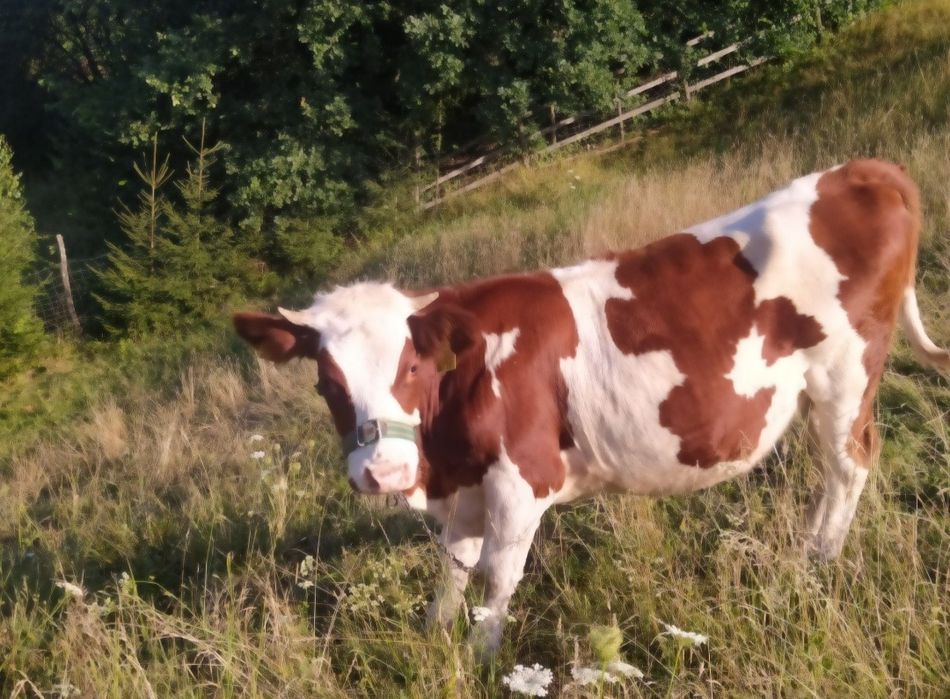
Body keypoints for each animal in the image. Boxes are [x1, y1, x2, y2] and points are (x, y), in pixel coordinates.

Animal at [232, 160, 950, 656]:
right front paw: (435, 641)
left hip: (846, 376)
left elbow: (496, 578)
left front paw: (481, 656)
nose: (380, 472)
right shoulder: (465, 487)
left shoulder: (524, 479)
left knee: (850, 464)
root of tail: (862, 169)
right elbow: (453, 569)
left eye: (412, 366)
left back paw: (818, 562)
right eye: (326, 382)